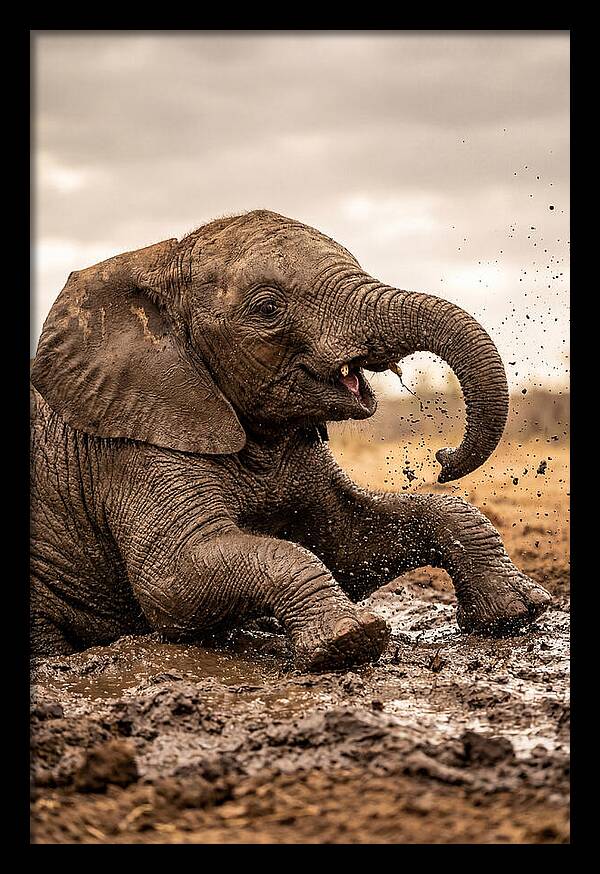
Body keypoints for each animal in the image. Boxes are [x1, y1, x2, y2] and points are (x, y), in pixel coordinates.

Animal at [30, 209, 551, 670]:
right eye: (267, 309)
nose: (443, 458)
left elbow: (349, 543)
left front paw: (519, 612)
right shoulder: (132, 447)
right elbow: (173, 582)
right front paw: (349, 640)